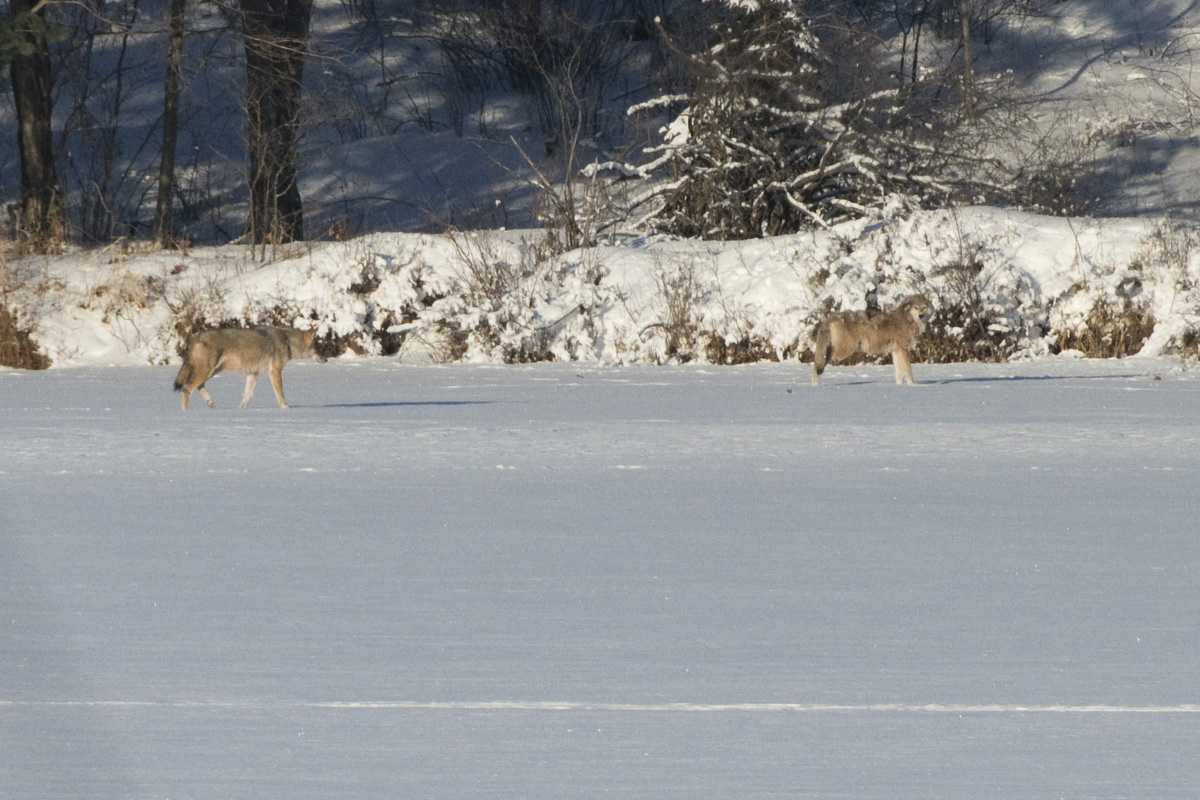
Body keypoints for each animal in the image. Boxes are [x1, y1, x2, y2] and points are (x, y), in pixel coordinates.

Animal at [173, 326, 325, 410]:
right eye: (318, 348)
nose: (326, 359)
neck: (287, 341)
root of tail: (195, 337)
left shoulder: (252, 373)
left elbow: (247, 396)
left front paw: (241, 409)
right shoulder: (275, 371)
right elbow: (281, 393)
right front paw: (286, 407)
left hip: (211, 372)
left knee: (198, 386)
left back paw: (210, 403)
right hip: (207, 371)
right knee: (187, 389)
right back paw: (185, 413)